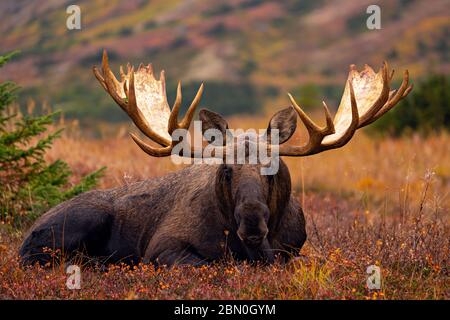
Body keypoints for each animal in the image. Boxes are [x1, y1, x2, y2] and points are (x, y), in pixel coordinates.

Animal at [19, 49, 414, 264]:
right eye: (225, 170)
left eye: (273, 169)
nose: (252, 223)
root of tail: (27, 231)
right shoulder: (161, 248)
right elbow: (208, 265)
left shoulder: (294, 250)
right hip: (77, 222)